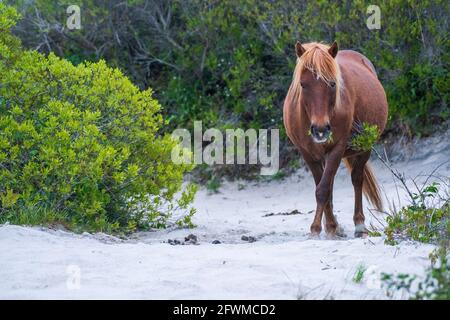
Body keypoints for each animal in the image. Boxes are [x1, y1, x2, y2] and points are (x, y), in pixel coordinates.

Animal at [284, 41, 386, 238]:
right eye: (303, 84)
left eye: (332, 84)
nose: (320, 130)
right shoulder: (307, 154)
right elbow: (324, 188)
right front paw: (331, 226)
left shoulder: (337, 149)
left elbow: (323, 190)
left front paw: (318, 228)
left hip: (365, 147)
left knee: (357, 179)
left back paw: (359, 225)